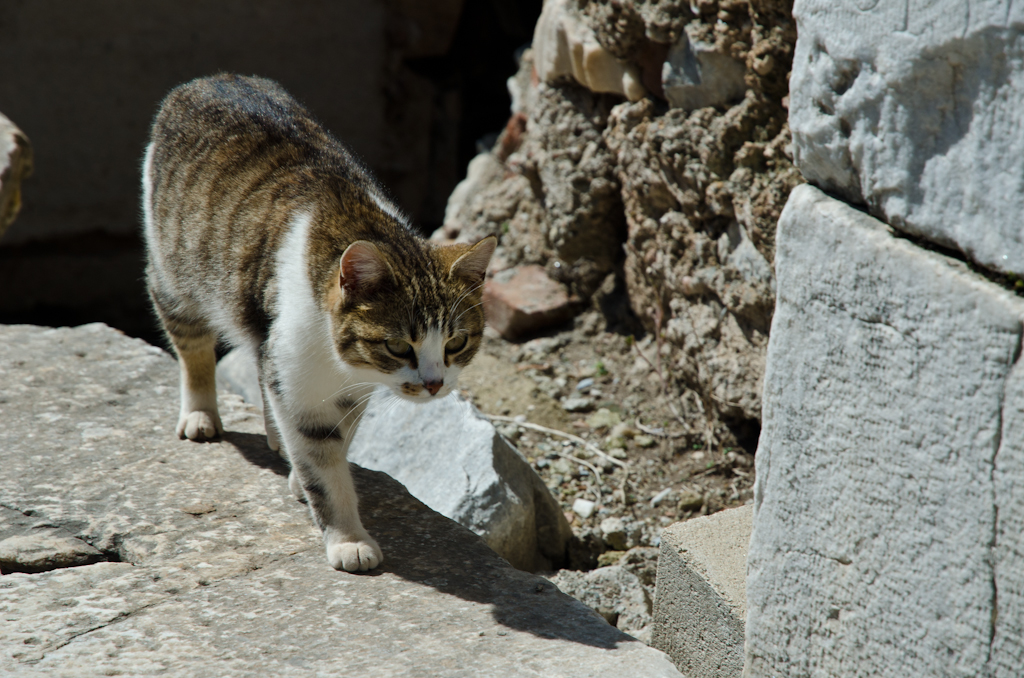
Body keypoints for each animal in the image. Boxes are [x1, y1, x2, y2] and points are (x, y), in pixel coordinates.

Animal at [143, 74, 495, 573]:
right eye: (398, 347)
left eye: (456, 343)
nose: (434, 384)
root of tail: (212, 79)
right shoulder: (300, 377)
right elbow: (322, 461)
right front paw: (347, 537)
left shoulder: (349, 392)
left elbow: (337, 443)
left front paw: (300, 474)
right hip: (176, 274)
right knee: (192, 345)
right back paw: (200, 413)